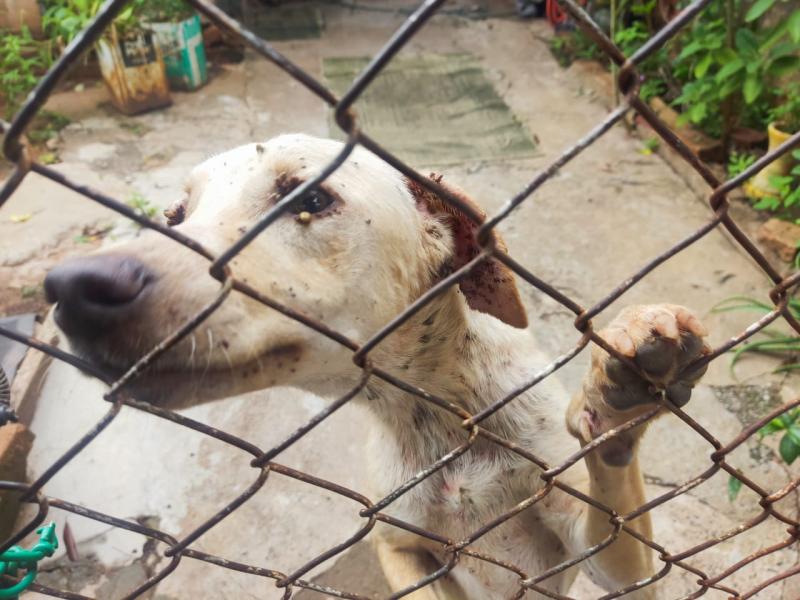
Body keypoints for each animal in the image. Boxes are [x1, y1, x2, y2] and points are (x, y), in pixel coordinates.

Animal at [45, 136, 708, 600]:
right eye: (175, 216)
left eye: (309, 199)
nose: (70, 289)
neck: (439, 415)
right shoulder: (400, 547)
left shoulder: (604, 553)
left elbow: (617, 511)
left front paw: (621, 398)